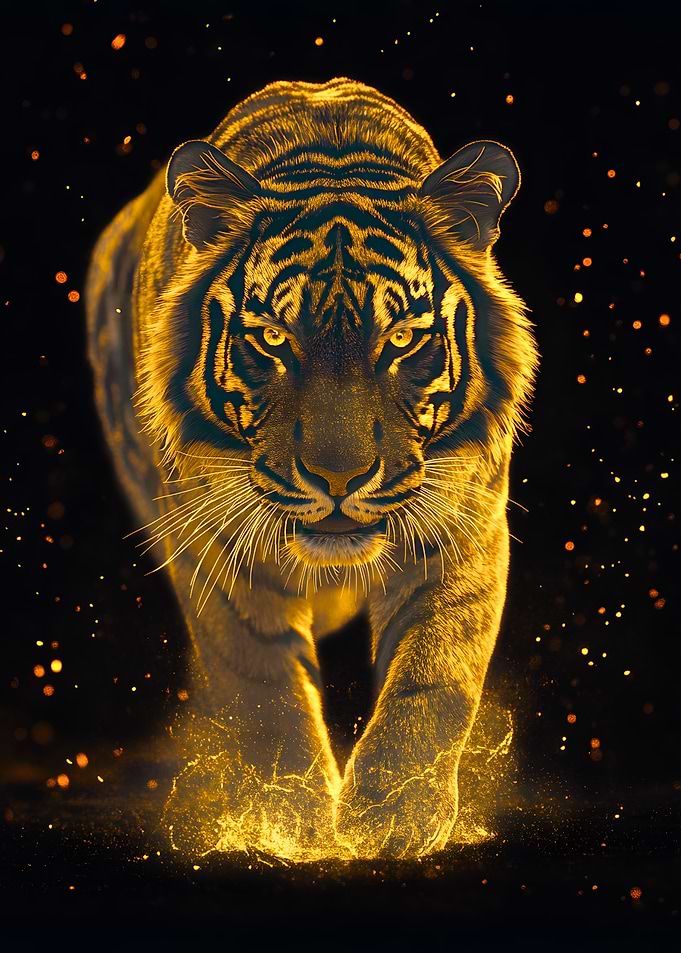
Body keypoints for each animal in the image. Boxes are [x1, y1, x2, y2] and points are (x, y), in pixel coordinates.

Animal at [86, 78, 538, 860]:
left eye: (401, 338)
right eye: (273, 338)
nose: (338, 479)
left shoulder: (463, 524)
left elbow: (433, 675)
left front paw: (392, 820)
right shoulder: (219, 548)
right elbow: (264, 687)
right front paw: (287, 821)